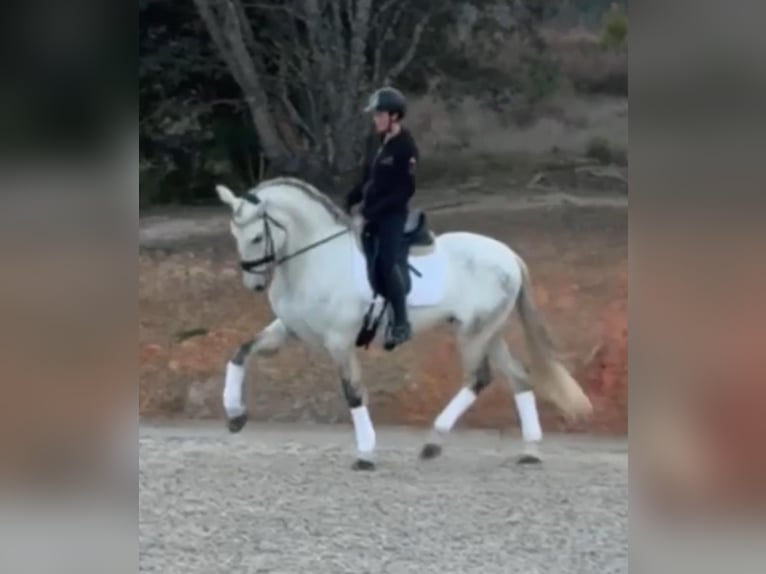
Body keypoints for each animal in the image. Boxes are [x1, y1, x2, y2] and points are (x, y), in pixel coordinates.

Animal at [215, 177, 592, 470]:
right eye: (234, 235)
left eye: (256, 237)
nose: (254, 285)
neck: (315, 259)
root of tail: (508, 255)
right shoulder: (288, 329)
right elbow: (240, 352)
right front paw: (234, 415)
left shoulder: (339, 341)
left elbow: (353, 393)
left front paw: (366, 453)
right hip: (489, 331)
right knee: (518, 379)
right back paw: (530, 450)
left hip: (474, 333)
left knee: (478, 378)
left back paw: (434, 441)